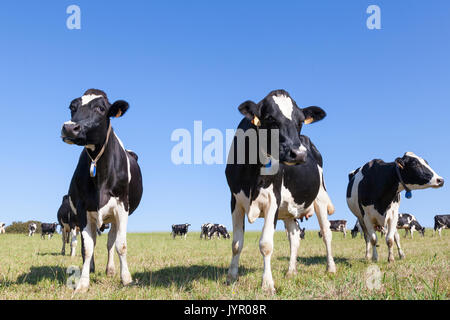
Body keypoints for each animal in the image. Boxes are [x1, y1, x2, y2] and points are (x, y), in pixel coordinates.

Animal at [60, 89, 143, 292]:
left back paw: (110, 269)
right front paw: (83, 282)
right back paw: (91, 268)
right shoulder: (82, 209)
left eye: (100, 108)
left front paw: (126, 278)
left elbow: (120, 245)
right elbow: (87, 247)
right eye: (72, 107)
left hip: (113, 216)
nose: (69, 128)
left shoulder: (122, 207)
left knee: (110, 242)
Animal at [225, 89, 334, 294]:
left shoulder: (272, 201)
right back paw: (291, 271)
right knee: (295, 237)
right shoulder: (235, 201)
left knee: (326, 233)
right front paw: (231, 277)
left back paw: (331, 268)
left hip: (320, 198)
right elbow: (236, 244)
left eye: (300, 121)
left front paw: (267, 284)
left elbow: (266, 244)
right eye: (270, 119)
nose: (299, 154)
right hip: (288, 210)